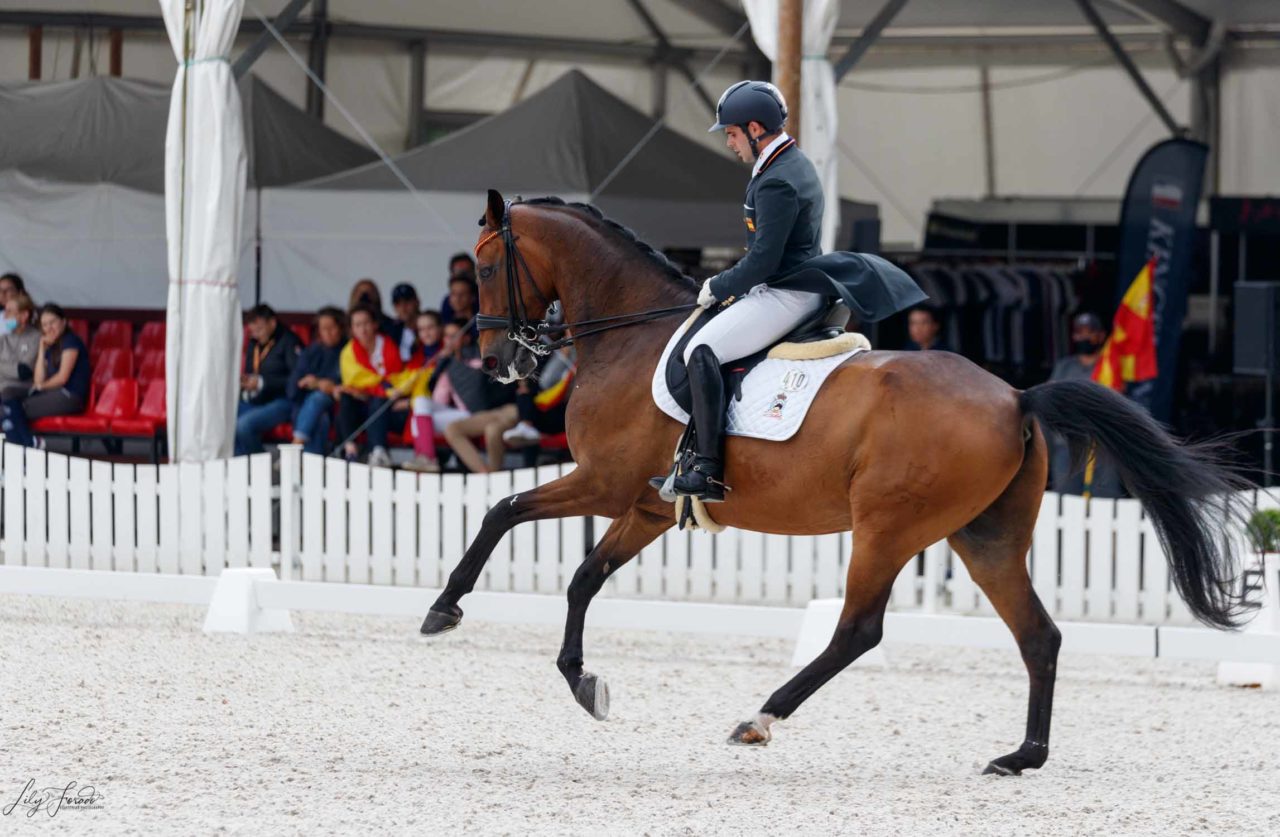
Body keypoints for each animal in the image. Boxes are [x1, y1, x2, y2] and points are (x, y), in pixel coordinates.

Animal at [422, 190, 1249, 778]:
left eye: (484, 266)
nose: (498, 361)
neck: (632, 336)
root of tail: (1017, 395)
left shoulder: (602, 482)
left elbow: (502, 509)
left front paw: (443, 610)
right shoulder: (647, 506)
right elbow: (583, 578)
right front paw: (583, 681)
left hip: (887, 525)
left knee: (859, 629)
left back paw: (759, 718)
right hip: (984, 535)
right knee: (1037, 634)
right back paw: (1022, 756)